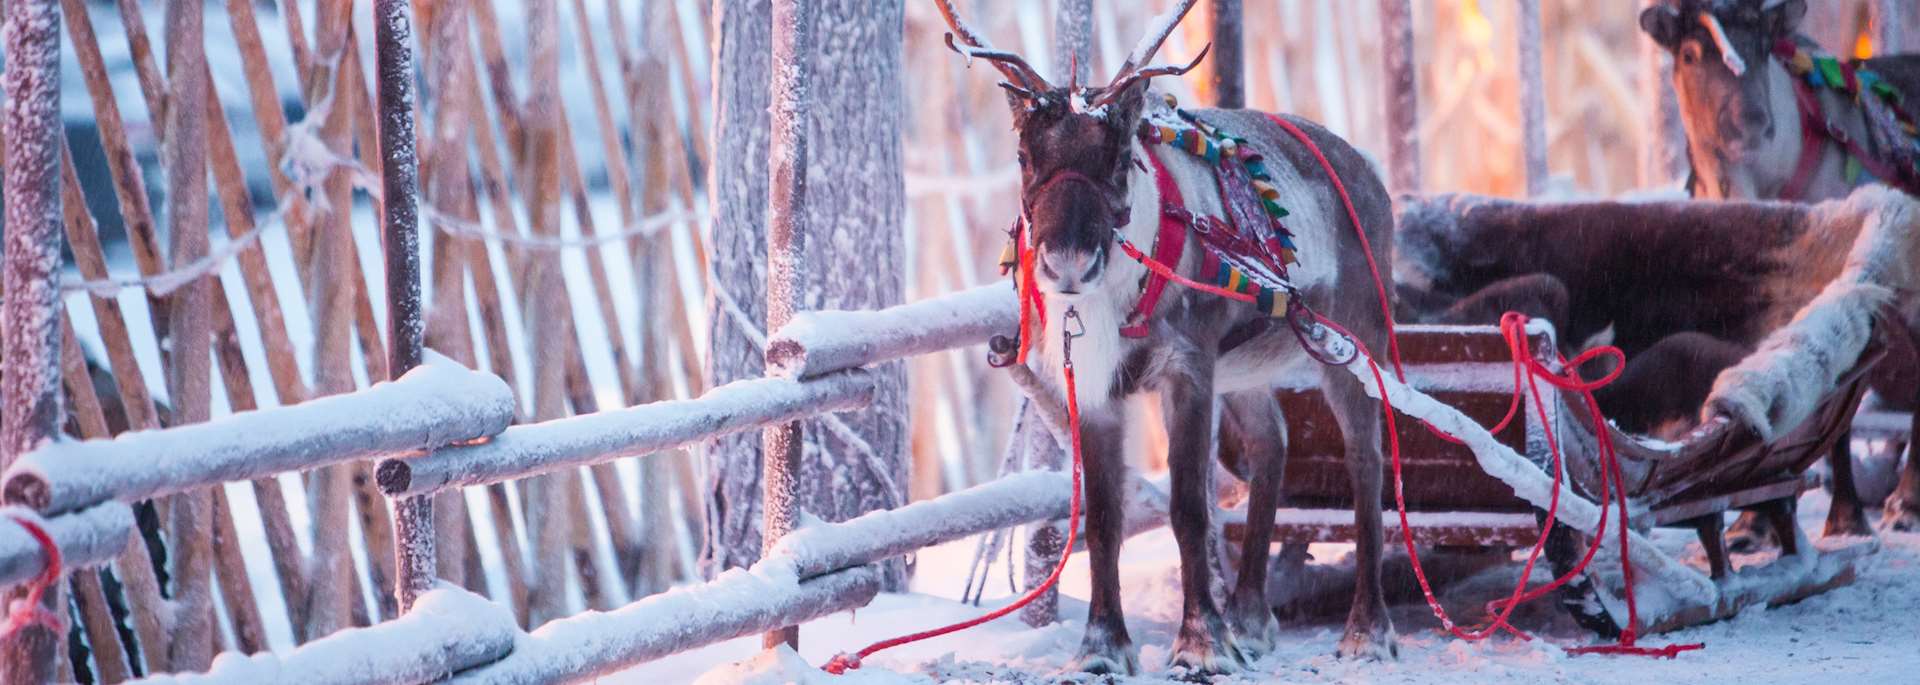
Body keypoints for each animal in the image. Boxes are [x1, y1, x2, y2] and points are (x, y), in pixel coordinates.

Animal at [934, 0, 1401, 674]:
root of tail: (1370, 171)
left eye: (1119, 154)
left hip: (1354, 342)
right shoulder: (1092, 386)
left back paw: (1366, 629)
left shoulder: (1187, 367)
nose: (1069, 264)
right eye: (1024, 155)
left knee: (1366, 458)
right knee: (1272, 441)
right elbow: (1104, 516)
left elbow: (1189, 508)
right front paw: (1102, 646)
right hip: (1245, 368)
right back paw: (1251, 618)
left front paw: (1202, 642)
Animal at [1638, 0, 1920, 548]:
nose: (1751, 124)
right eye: (1690, 53)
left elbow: (1835, 405)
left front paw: (1845, 517)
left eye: (1764, 44)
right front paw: (1752, 523)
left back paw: (1908, 502)